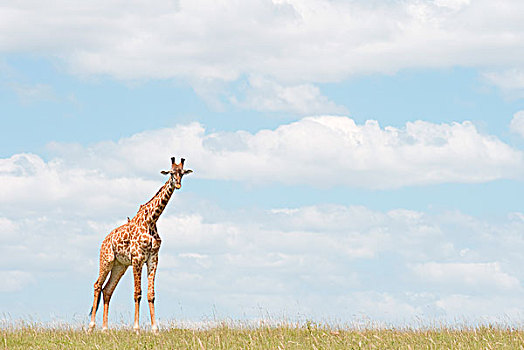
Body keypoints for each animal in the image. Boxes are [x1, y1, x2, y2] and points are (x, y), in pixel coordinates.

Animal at [88, 157, 192, 334]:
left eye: (183, 173)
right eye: (171, 173)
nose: (178, 184)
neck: (151, 220)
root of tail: (104, 241)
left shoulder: (153, 258)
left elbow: (151, 294)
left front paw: (155, 329)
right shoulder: (137, 258)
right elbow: (138, 293)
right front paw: (136, 329)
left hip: (120, 266)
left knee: (107, 290)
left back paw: (105, 329)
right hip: (107, 260)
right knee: (97, 285)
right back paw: (91, 327)